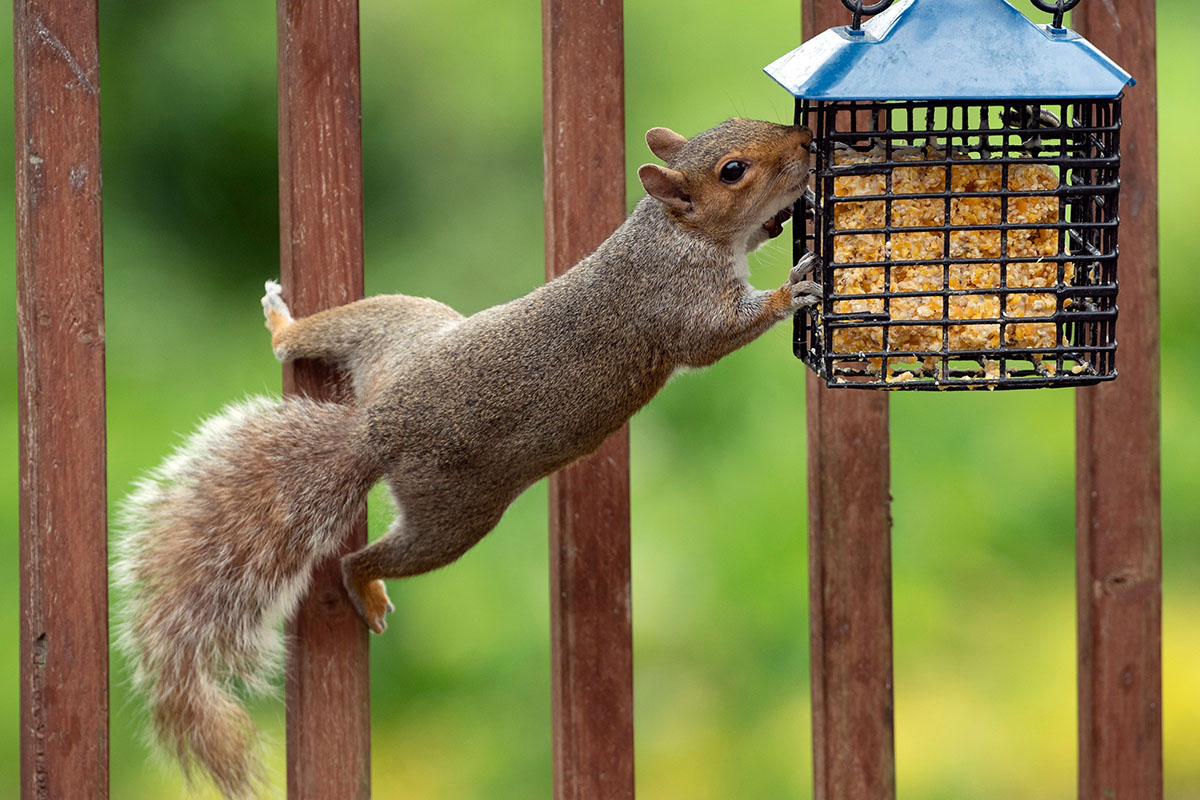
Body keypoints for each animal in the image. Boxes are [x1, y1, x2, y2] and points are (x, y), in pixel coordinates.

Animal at [114, 117, 820, 799]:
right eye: (733, 170)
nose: (806, 140)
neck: (672, 233)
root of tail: (374, 427)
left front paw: (778, 227)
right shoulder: (678, 303)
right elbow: (712, 338)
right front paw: (792, 291)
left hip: (397, 324)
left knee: (304, 343)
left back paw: (283, 325)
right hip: (453, 515)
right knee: (359, 558)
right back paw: (364, 587)